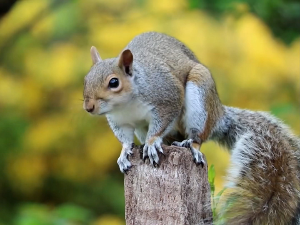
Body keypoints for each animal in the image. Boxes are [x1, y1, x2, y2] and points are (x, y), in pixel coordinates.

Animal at [82, 31, 300, 225]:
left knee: (198, 136)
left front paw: (152, 144)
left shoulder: (167, 97)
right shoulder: (120, 122)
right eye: (86, 80)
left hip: (200, 99)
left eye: (114, 82)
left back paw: (190, 144)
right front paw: (125, 152)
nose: (88, 107)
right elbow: (126, 140)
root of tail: (219, 115)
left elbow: (162, 122)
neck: (126, 104)